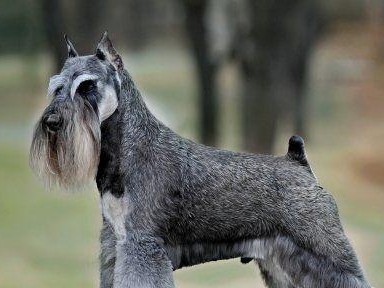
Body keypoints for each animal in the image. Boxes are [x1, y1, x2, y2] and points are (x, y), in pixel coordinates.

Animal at [30, 32, 372, 286]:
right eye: (57, 87)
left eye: (87, 85)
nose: (52, 122)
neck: (127, 150)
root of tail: (298, 161)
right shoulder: (116, 243)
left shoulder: (143, 245)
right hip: (281, 262)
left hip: (325, 252)